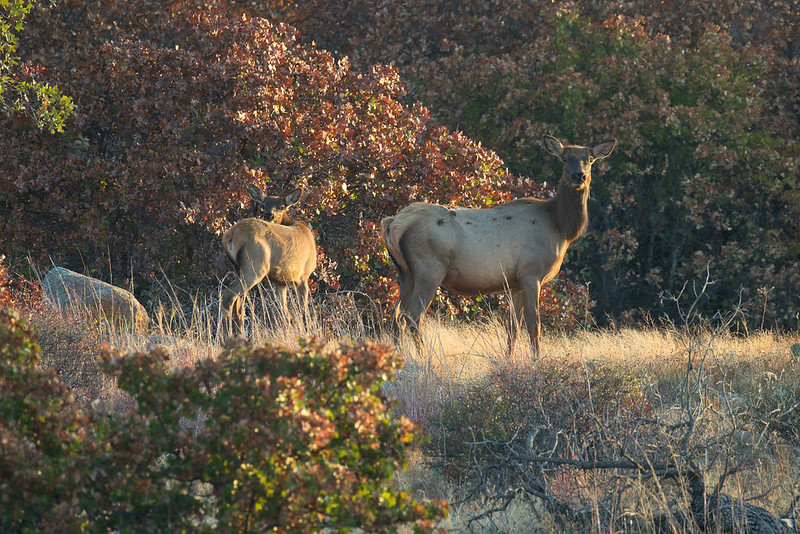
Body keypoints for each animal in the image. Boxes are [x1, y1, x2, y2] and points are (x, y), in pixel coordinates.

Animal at [221, 185, 317, 337]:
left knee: (239, 304)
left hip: (238, 269)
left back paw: (241, 335)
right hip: (255, 266)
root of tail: (230, 235)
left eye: (282, 206)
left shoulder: (280, 282)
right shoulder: (303, 275)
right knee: (228, 295)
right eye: (263, 204)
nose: (269, 215)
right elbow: (304, 313)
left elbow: (284, 313)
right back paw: (227, 336)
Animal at [380, 135, 616, 359]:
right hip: (429, 269)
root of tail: (393, 223)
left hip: (405, 273)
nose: (579, 176)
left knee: (396, 316)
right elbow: (534, 325)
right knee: (413, 315)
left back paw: (401, 356)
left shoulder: (515, 282)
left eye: (590, 159)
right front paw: (536, 360)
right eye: (564, 158)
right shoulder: (531, 273)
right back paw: (424, 358)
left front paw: (508, 359)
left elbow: (513, 326)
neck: (560, 228)